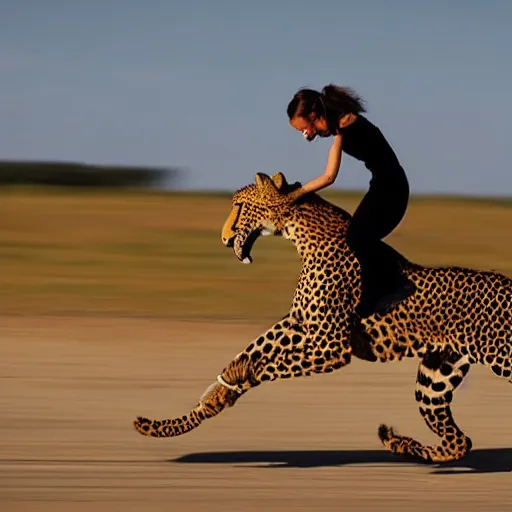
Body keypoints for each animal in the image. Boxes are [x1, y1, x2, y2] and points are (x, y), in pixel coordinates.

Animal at [136, 171, 512, 464]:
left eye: (239, 206)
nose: (225, 238)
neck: (300, 233)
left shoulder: (331, 346)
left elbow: (273, 364)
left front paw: (239, 378)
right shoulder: (299, 323)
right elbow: (258, 347)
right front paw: (216, 393)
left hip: (502, 359)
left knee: (461, 441)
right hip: (435, 379)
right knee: (460, 443)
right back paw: (399, 443)